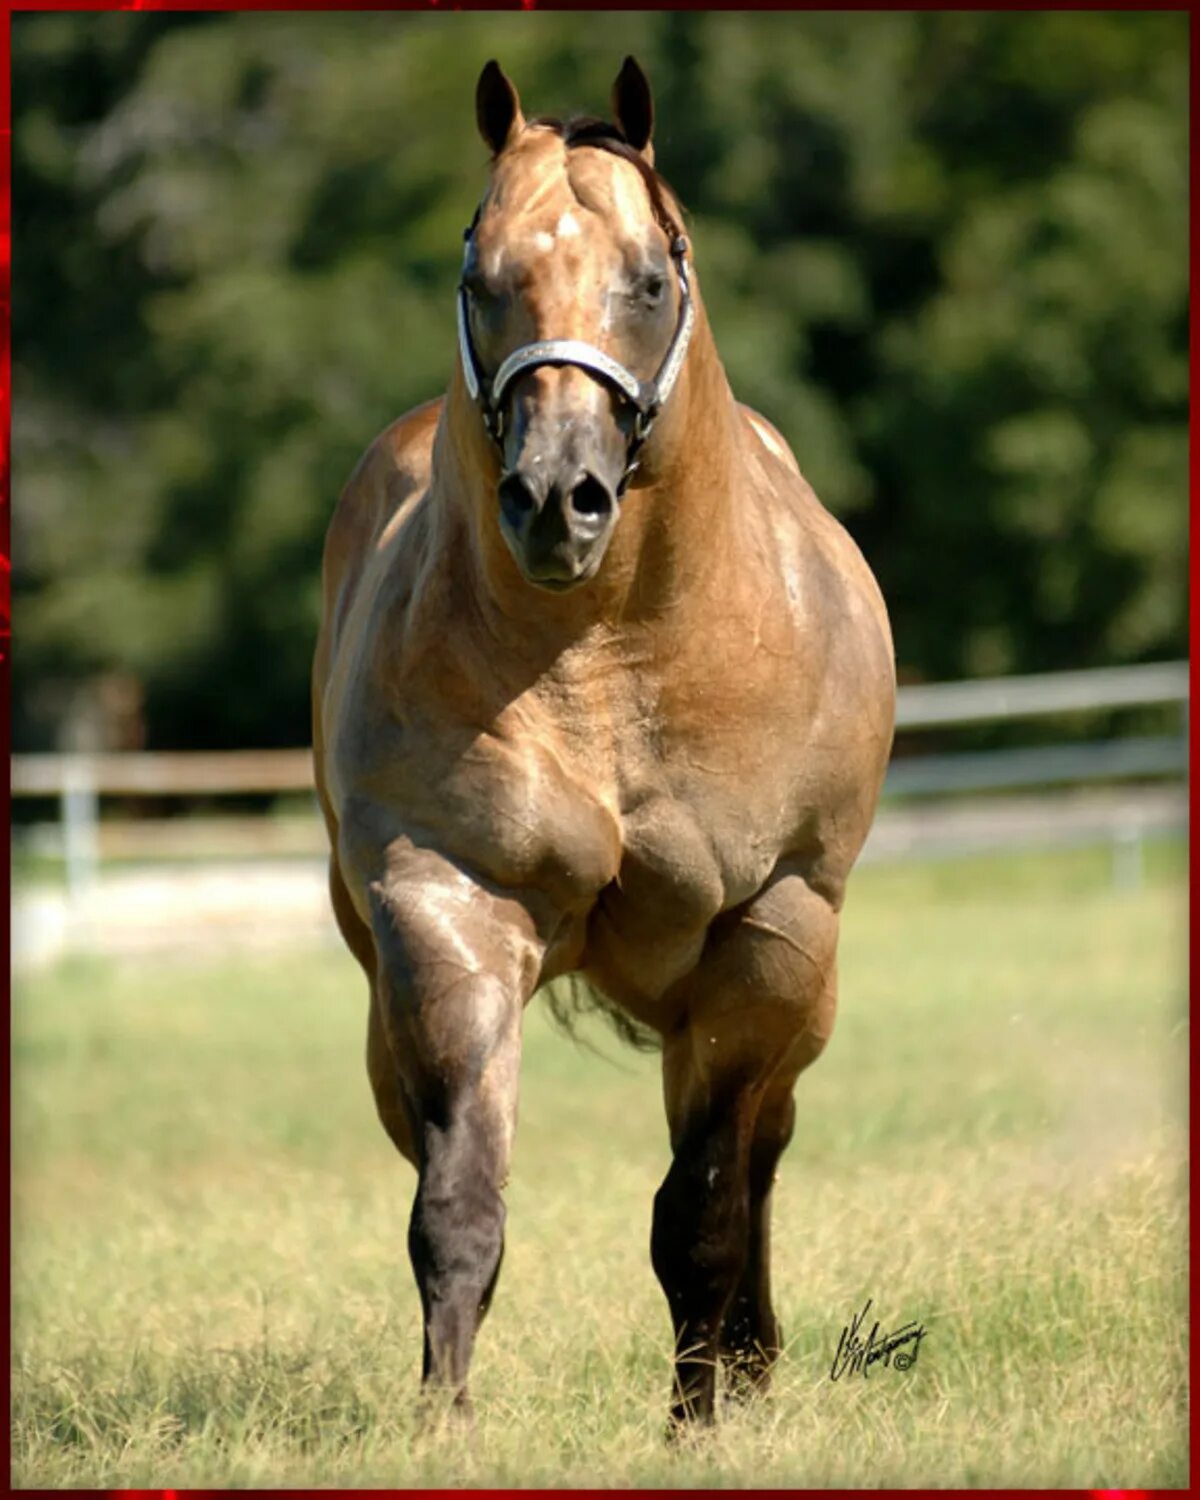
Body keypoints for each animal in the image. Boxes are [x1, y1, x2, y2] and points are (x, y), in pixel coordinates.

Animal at [313, 52, 894, 1422]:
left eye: (651, 278)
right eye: (482, 280)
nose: (553, 501)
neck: (615, 656)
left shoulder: (770, 933)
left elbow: (706, 1212)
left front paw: (699, 1419)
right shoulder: (448, 910)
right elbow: (458, 1208)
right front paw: (444, 1424)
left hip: (793, 993)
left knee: (761, 1154)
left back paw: (749, 1364)